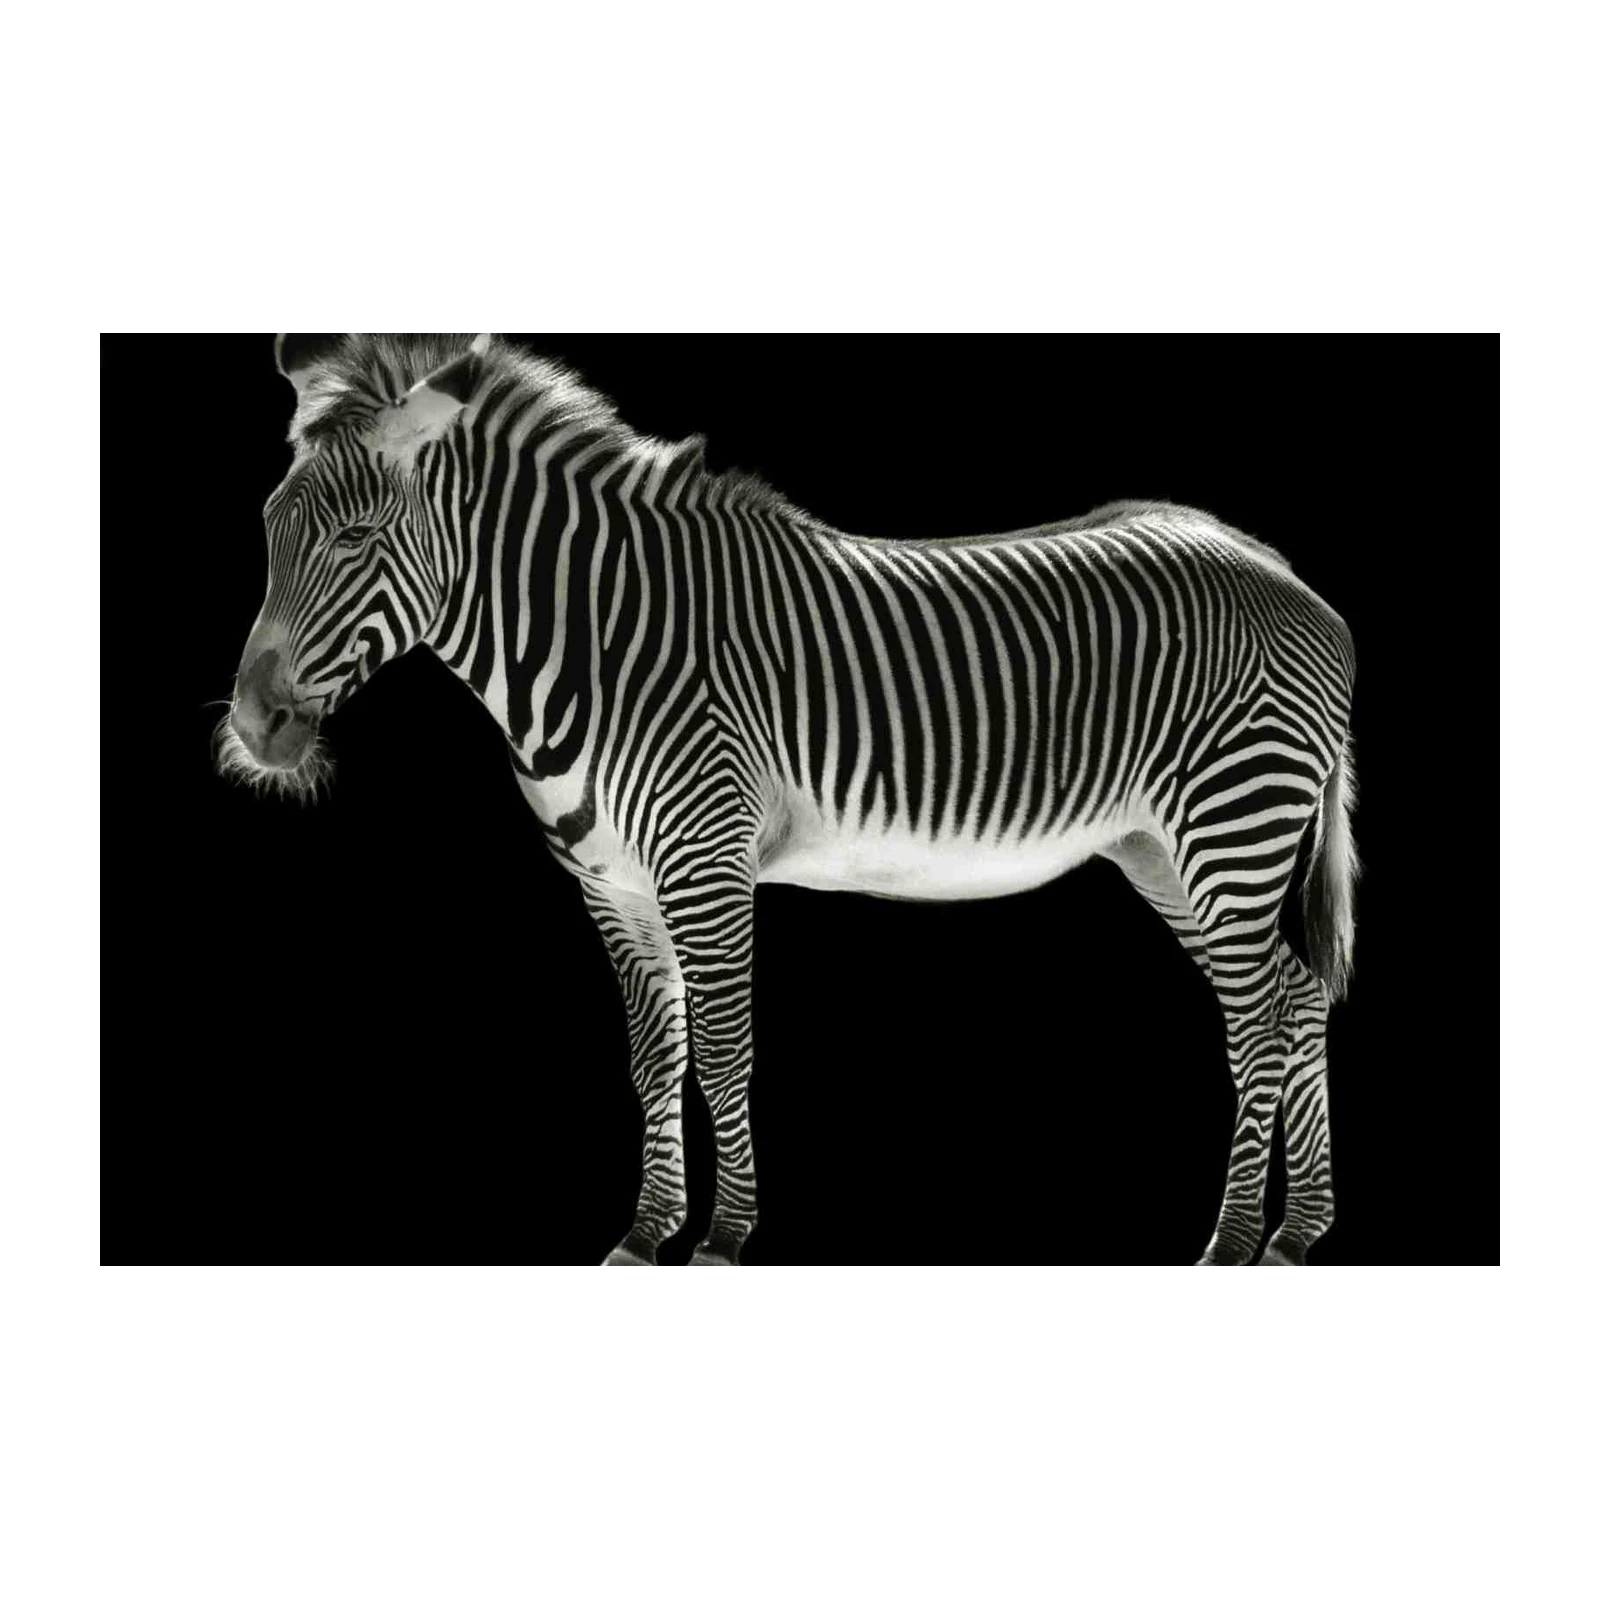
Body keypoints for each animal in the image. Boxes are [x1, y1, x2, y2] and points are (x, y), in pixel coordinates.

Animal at [220, 326, 1359, 1274]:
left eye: (358, 537)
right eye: (271, 527)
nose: (253, 725)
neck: (593, 646)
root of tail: (1285, 573)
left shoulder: (706, 862)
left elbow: (725, 1050)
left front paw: (722, 1239)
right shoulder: (613, 886)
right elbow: (654, 1060)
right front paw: (643, 1234)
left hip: (1231, 827)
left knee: (1261, 1021)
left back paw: (1232, 1242)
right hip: (1163, 850)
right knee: (1297, 1000)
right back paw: (1294, 1235)